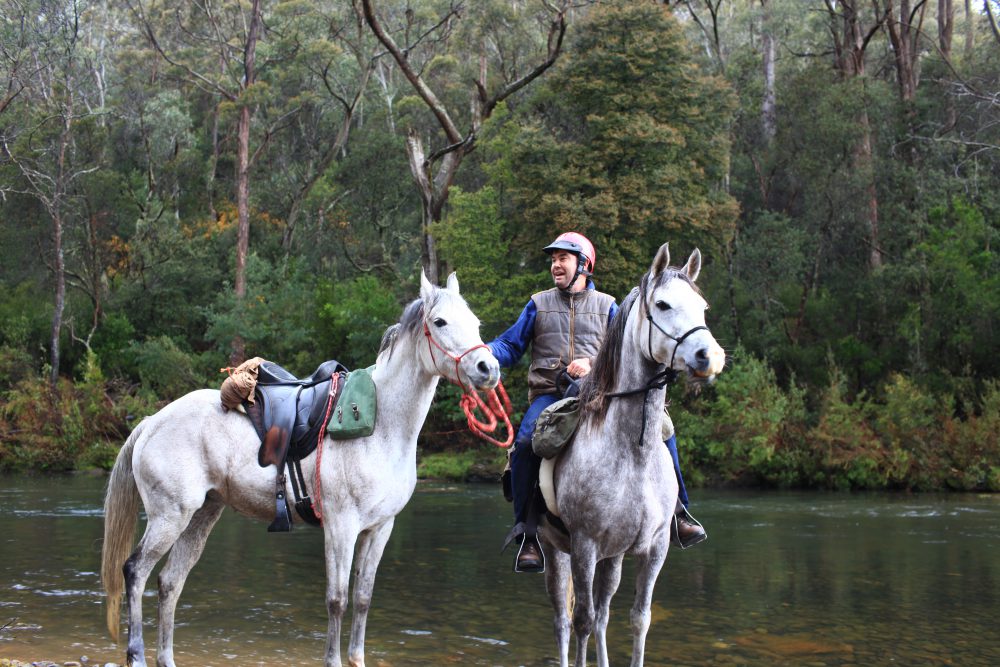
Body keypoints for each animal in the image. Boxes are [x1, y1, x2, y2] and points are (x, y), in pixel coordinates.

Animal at [100, 272, 500, 667]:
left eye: (476, 322)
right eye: (440, 321)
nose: (489, 368)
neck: (380, 425)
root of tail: (151, 422)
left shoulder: (380, 528)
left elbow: (363, 599)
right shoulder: (341, 526)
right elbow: (337, 600)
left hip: (202, 514)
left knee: (170, 582)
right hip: (170, 516)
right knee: (135, 571)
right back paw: (136, 654)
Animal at [537, 243, 725, 667]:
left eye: (703, 306)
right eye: (663, 304)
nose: (710, 357)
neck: (631, 453)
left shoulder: (653, 549)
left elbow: (639, 620)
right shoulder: (584, 546)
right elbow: (582, 621)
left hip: (613, 557)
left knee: (604, 614)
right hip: (557, 551)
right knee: (563, 620)